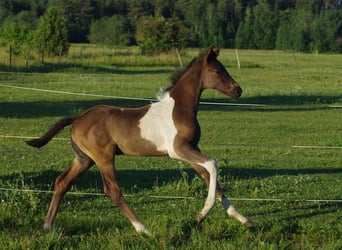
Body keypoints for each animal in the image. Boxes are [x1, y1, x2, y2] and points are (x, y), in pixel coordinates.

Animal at [26, 45, 252, 234]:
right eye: (218, 71)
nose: (238, 90)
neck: (178, 109)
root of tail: (78, 118)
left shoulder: (191, 147)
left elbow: (208, 176)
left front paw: (243, 219)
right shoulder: (177, 149)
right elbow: (213, 165)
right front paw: (202, 214)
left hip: (84, 159)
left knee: (62, 182)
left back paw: (48, 226)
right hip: (104, 157)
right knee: (112, 190)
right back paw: (143, 229)